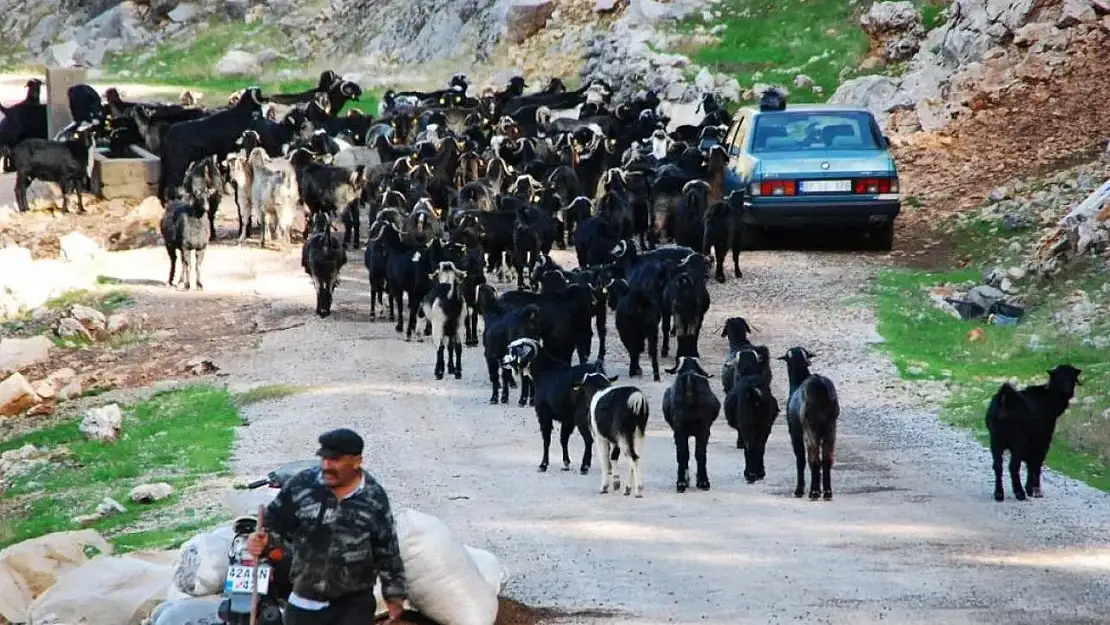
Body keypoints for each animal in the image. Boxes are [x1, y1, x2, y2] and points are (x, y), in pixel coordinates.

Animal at [781, 344, 839, 501]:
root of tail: (821, 386)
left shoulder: (794, 431)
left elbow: (800, 459)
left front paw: (799, 490)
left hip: (811, 427)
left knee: (813, 459)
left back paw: (814, 492)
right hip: (831, 426)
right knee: (827, 459)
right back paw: (827, 492)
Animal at [990, 364, 1083, 501]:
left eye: (1071, 376)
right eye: (1058, 377)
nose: (1067, 389)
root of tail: (1005, 399)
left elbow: (1030, 463)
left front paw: (1030, 489)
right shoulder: (1042, 440)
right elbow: (1036, 463)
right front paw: (1035, 490)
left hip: (996, 438)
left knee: (997, 465)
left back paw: (999, 494)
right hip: (1018, 440)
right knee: (1014, 466)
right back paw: (1020, 493)